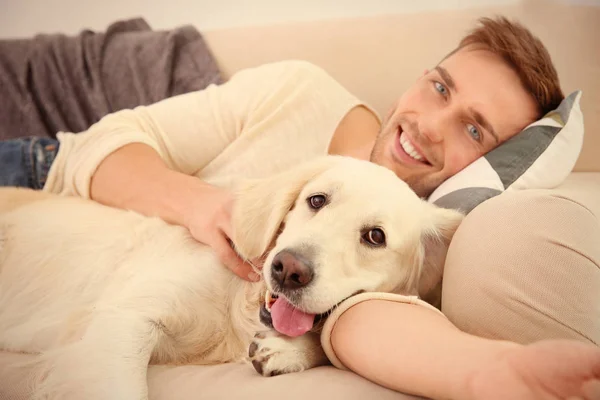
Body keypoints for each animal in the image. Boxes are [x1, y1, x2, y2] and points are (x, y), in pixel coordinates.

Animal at [0, 156, 464, 400]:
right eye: (317, 200)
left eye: (375, 237)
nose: (287, 269)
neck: (237, 307)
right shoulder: (122, 320)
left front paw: (287, 350)